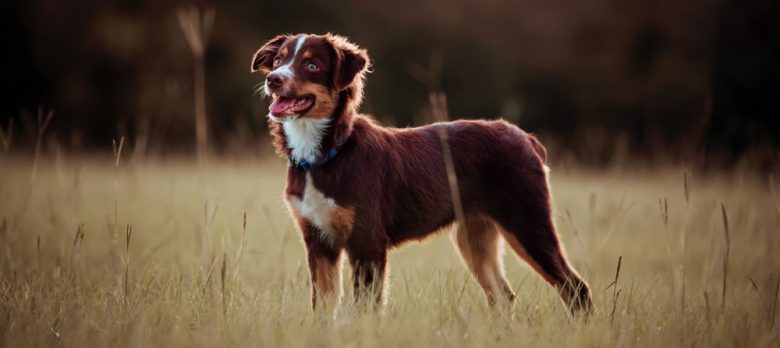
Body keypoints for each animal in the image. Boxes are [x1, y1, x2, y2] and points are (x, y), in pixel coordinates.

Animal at [250, 34, 592, 314]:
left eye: (311, 64)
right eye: (278, 60)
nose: (273, 80)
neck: (325, 154)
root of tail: (527, 139)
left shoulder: (367, 242)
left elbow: (364, 309)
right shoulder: (318, 241)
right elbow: (323, 308)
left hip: (528, 224)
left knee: (575, 288)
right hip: (474, 236)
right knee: (503, 297)